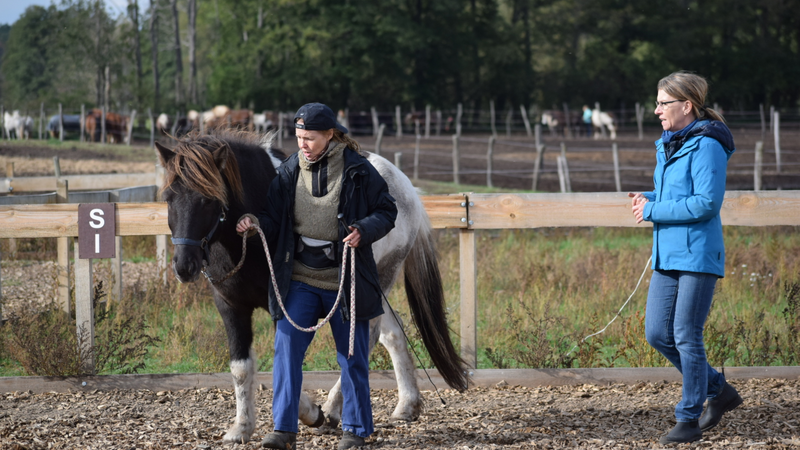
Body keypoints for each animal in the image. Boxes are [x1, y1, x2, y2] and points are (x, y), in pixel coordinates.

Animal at [156, 129, 468, 442]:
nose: (184, 266)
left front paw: (310, 413)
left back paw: (331, 410)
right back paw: (407, 406)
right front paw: (242, 427)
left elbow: (285, 364)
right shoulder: (231, 307)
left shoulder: (283, 307)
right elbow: (241, 368)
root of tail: (406, 187)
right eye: (169, 198)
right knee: (392, 334)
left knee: (367, 340)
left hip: (376, 281)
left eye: (208, 200)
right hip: (374, 291)